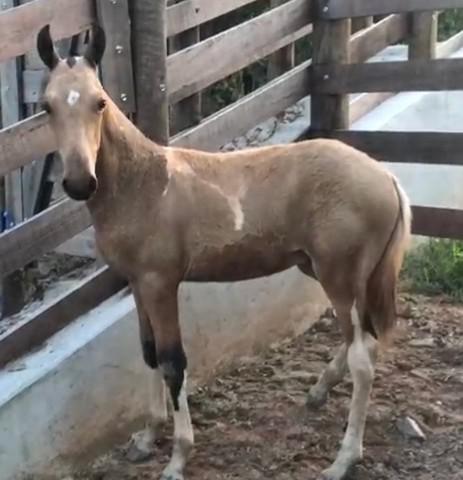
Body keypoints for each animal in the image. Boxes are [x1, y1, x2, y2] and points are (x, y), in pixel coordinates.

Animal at [37, 24, 414, 480]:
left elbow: (172, 361)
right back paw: (319, 391)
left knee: (364, 357)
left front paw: (178, 457)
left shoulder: (161, 284)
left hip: (338, 275)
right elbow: (148, 352)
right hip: (328, 272)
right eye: (47, 106)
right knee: (360, 338)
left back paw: (343, 459)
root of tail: (387, 177)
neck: (143, 185)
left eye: (100, 102)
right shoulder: (138, 284)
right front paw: (146, 438)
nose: (79, 182)